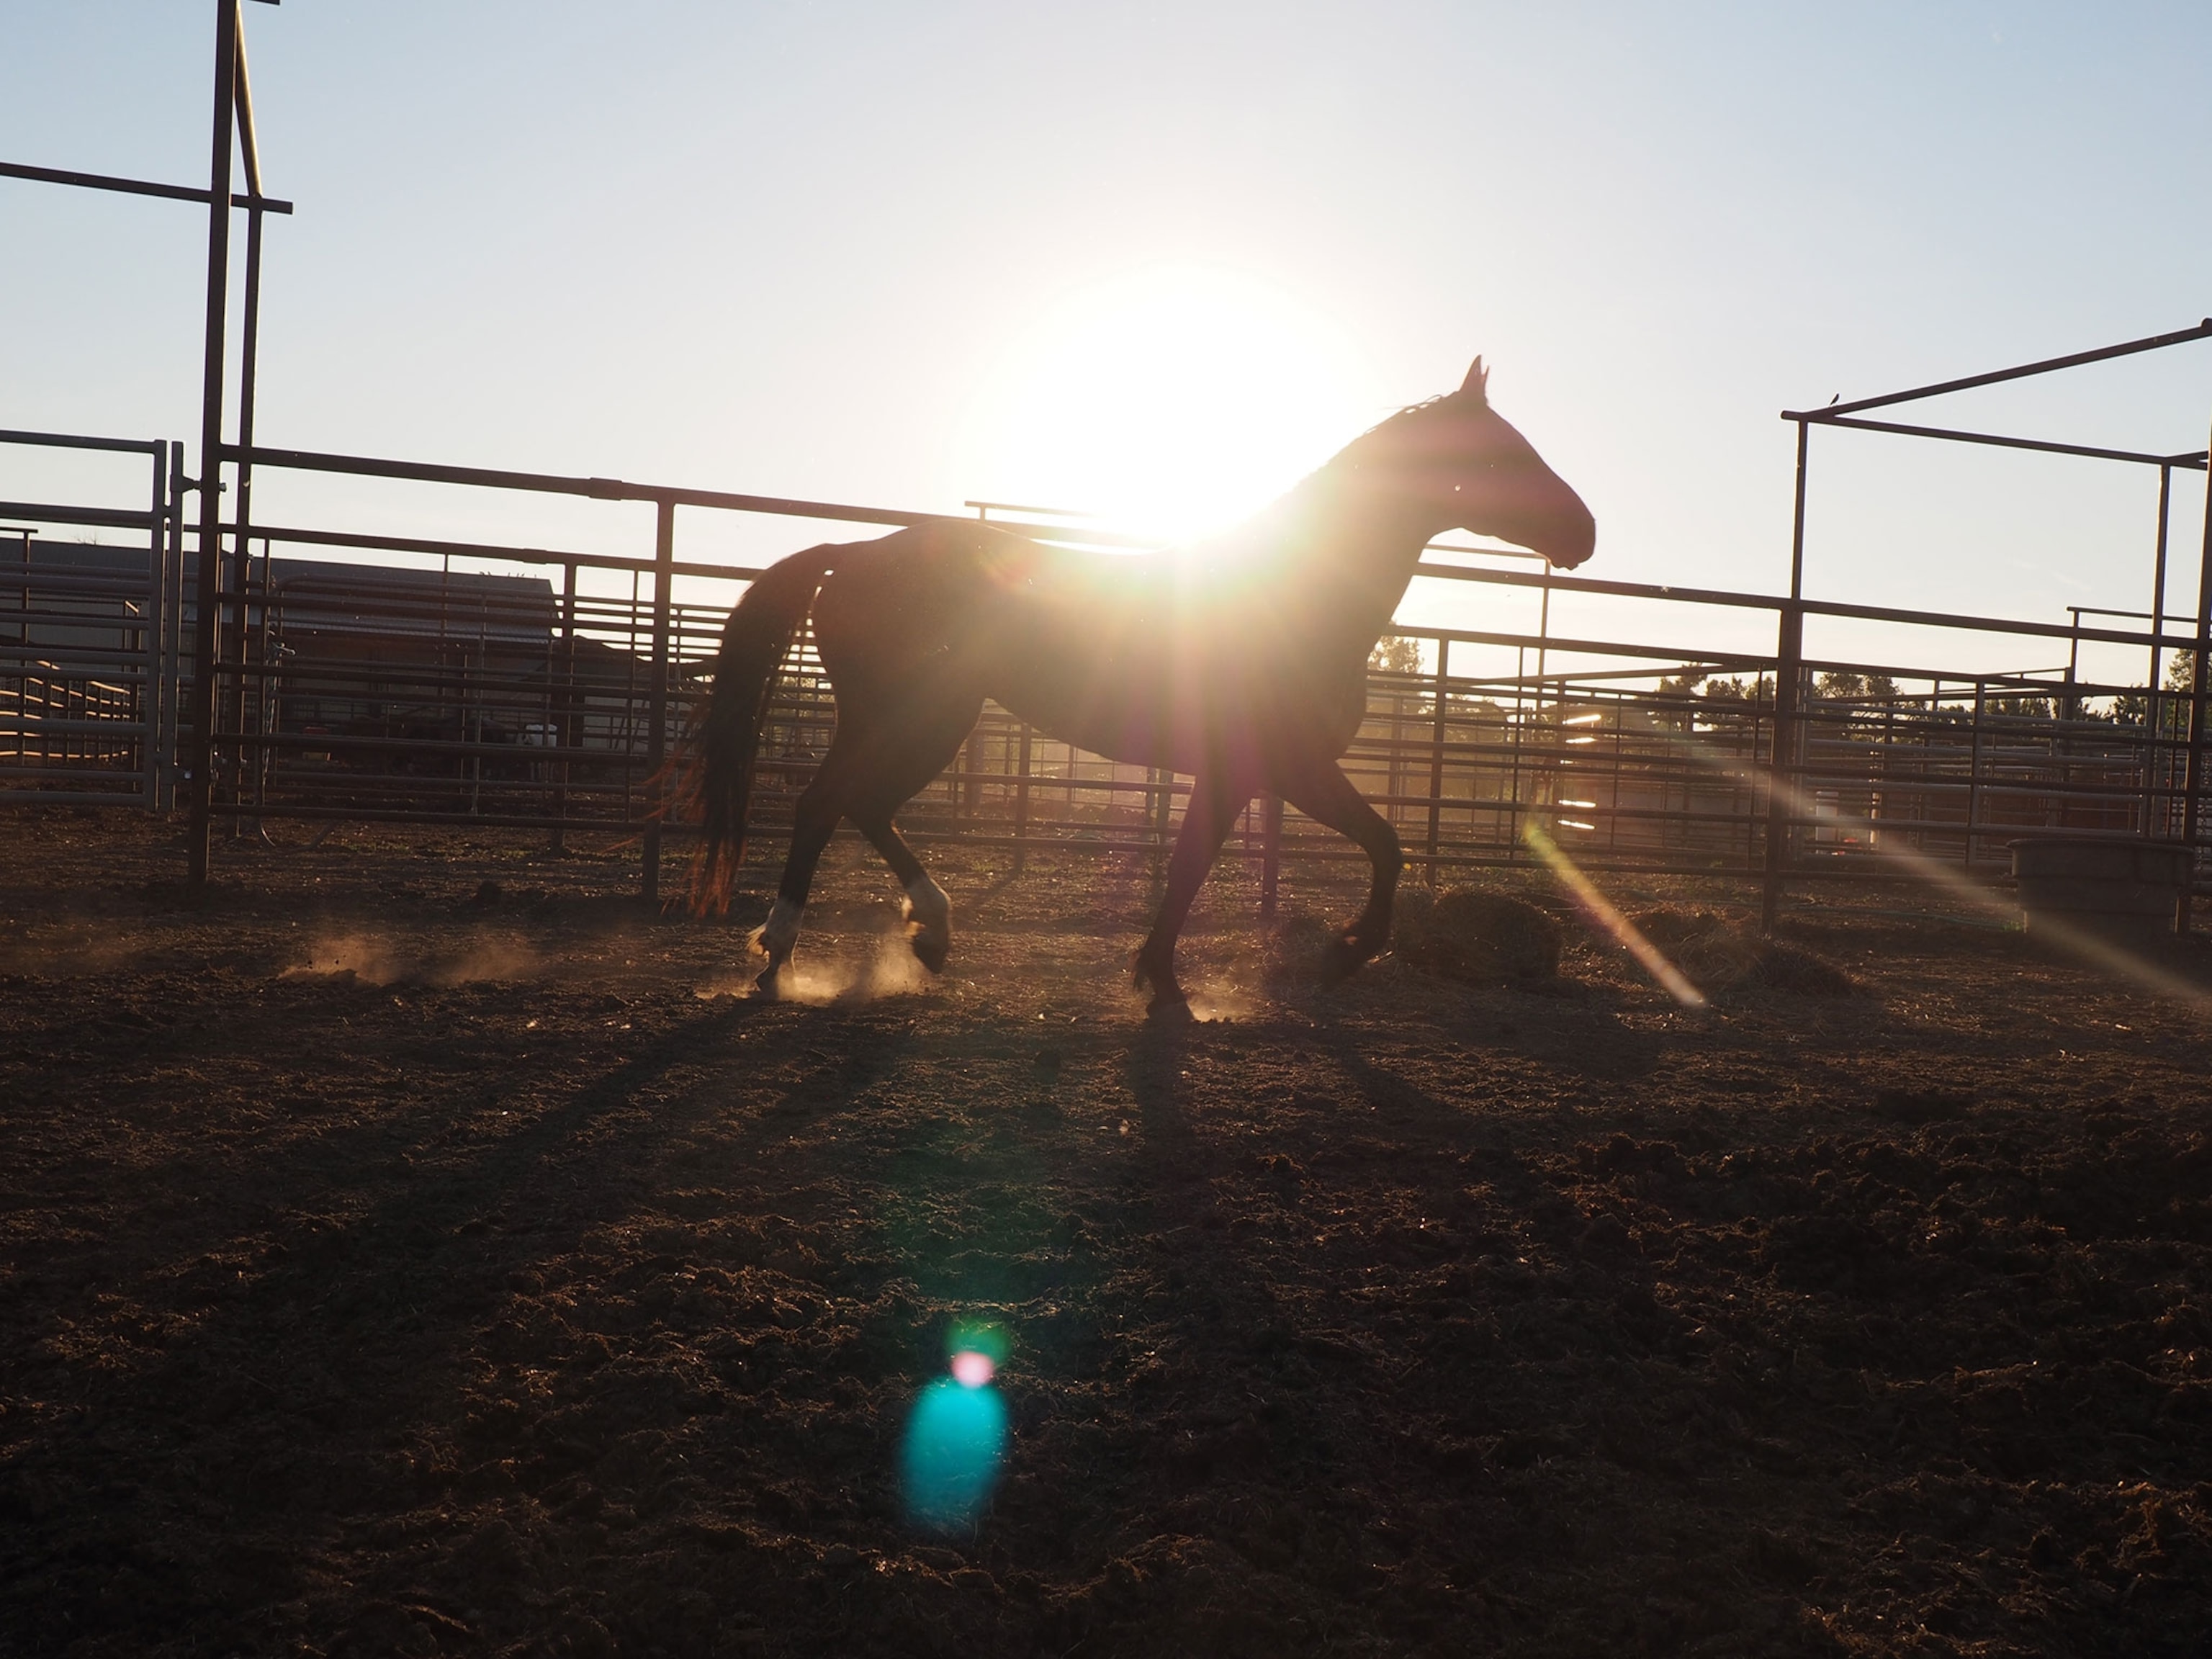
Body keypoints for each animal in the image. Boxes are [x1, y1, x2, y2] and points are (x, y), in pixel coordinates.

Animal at [682, 357, 1594, 1011]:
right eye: (1502, 452)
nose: (1583, 532)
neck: (1299, 596)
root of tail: (850, 555)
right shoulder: (1283, 770)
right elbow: (1377, 846)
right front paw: (1334, 956)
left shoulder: (1247, 777)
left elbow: (1202, 865)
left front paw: (1162, 974)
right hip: (913, 718)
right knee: (824, 805)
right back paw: (781, 956)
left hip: (923, 720)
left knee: (860, 806)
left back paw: (927, 936)